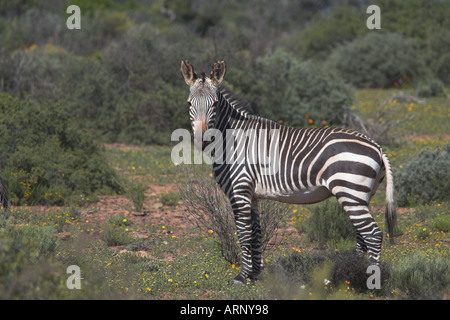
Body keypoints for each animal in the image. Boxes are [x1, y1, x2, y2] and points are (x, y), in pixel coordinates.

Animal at [179, 60, 398, 284]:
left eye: (214, 104)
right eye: (189, 104)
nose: (202, 140)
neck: (234, 139)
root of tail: (377, 146)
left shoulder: (239, 189)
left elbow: (244, 233)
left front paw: (242, 276)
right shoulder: (252, 194)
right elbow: (256, 233)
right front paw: (255, 273)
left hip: (350, 191)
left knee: (373, 234)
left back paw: (369, 278)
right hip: (362, 195)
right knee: (362, 236)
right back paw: (354, 270)